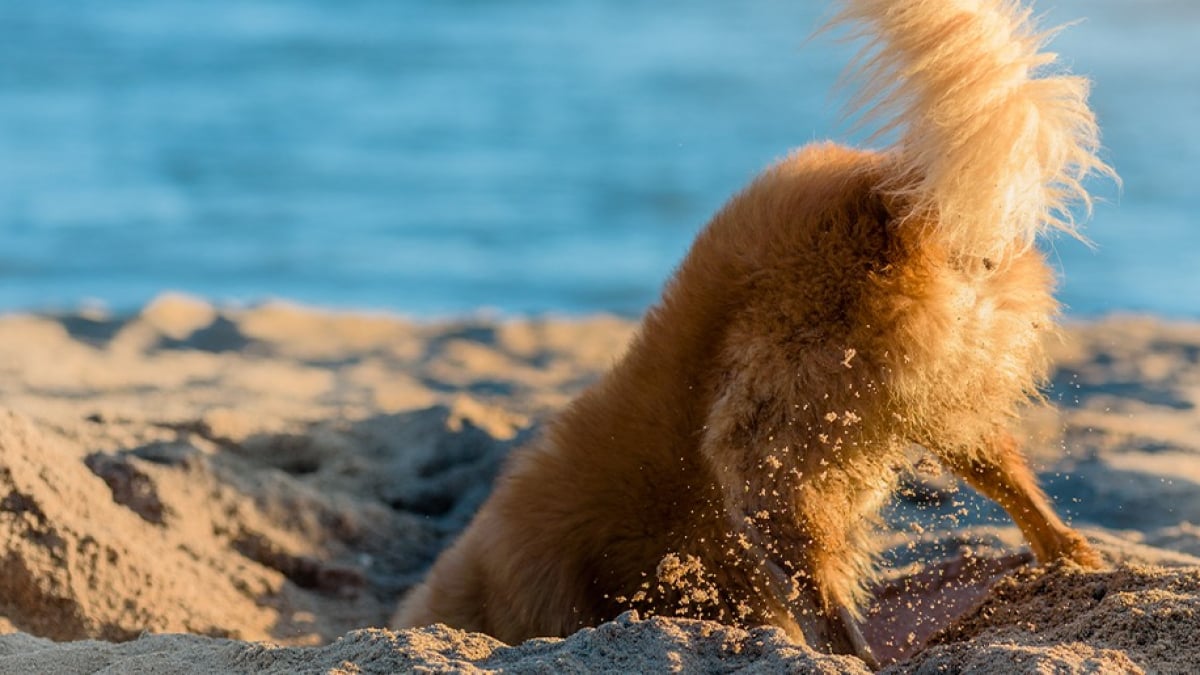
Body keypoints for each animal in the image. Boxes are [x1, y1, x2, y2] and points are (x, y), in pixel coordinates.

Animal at [398, 0, 1108, 662]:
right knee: (1029, 503)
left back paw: (843, 654)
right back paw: (1071, 563)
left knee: (826, 606)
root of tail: (881, 203)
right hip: (947, 407)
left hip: (762, 457)